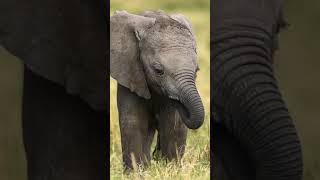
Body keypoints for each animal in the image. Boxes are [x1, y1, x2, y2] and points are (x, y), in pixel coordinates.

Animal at [110, 10, 205, 171]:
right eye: (158, 71)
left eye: (197, 70)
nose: (178, 100)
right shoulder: (130, 71)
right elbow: (133, 121)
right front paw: (135, 172)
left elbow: (173, 123)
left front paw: (172, 170)